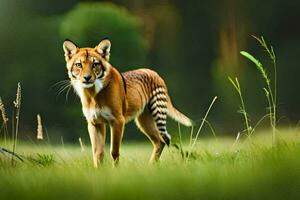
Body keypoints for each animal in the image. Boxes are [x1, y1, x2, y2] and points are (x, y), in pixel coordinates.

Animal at [62, 38, 192, 166]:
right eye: (79, 64)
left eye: (95, 64)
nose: (87, 78)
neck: (93, 93)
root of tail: (154, 72)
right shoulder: (95, 123)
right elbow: (98, 153)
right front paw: (99, 170)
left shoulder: (117, 121)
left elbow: (114, 151)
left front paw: (116, 170)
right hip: (144, 121)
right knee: (160, 141)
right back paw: (150, 167)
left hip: (157, 114)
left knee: (165, 138)